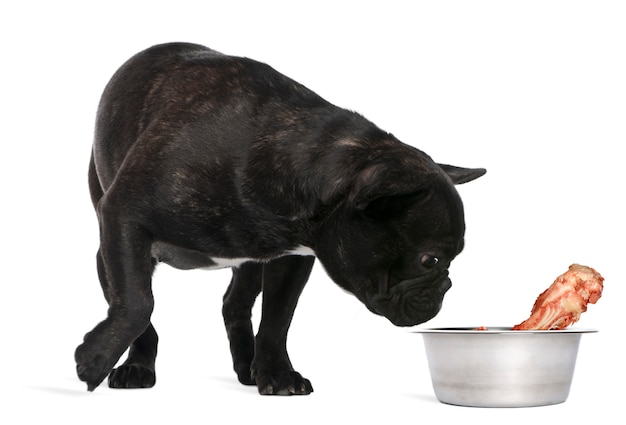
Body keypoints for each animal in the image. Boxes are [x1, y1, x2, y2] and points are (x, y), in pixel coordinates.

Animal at [74, 43, 482, 394]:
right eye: (430, 260)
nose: (446, 286)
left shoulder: (293, 258)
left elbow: (276, 319)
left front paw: (278, 374)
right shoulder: (124, 219)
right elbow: (137, 303)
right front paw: (96, 360)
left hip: (248, 260)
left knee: (235, 303)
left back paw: (248, 365)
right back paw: (137, 366)